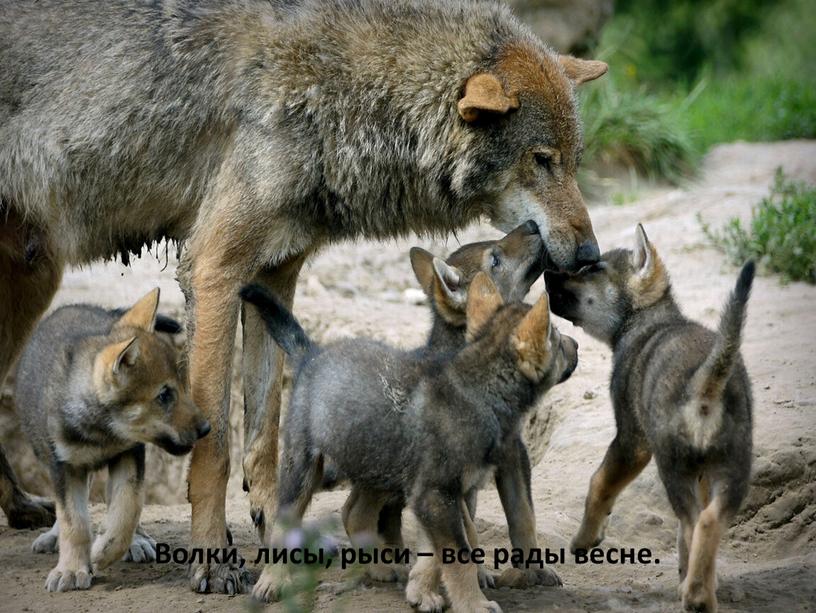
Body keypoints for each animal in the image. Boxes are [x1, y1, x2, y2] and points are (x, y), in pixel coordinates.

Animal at [1, 0, 604, 592]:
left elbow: (265, 441)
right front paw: (214, 562)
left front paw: (276, 543)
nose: (590, 253)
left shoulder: (272, 278)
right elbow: (215, 448)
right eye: (541, 159)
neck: (334, 90)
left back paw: (30, 511)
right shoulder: (214, 271)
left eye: (575, 160)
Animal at [544, 227, 756, 608]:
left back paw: (694, 595)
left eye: (591, 269)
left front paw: (585, 539)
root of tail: (707, 383)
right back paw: (701, 591)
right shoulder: (702, 474)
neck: (646, 321)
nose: (545, 273)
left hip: (673, 469)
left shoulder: (632, 442)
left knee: (695, 523)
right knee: (708, 522)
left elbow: (599, 483)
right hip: (732, 470)